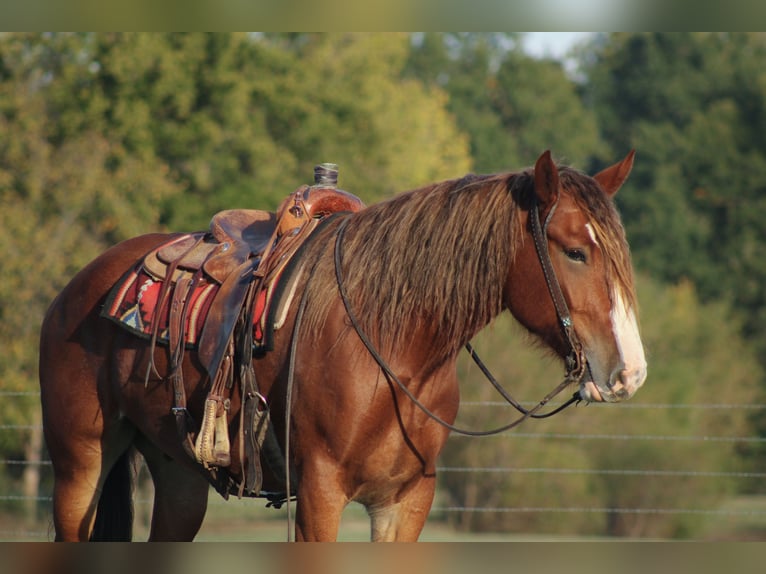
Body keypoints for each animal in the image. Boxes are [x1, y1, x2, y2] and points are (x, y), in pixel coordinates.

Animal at [39, 150, 647, 541]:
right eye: (574, 251)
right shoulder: (320, 495)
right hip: (79, 465)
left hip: (179, 474)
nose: (630, 372)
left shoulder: (406, 503)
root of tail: (76, 287)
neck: (392, 347)